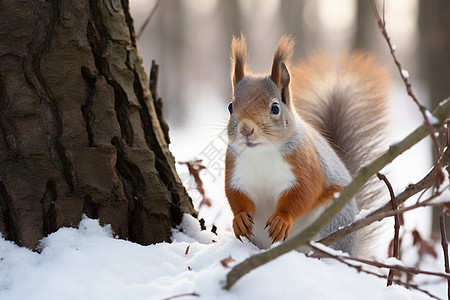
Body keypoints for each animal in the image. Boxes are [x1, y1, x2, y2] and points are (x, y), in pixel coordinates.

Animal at [225, 35, 390, 255]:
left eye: (275, 107)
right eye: (230, 107)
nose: (245, 130)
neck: (261, 152)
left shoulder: (304, 163)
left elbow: (305, 191)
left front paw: (282, 219)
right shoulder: (235, 170)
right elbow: (234, 195)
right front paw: (240, 217)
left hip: (332, 218)